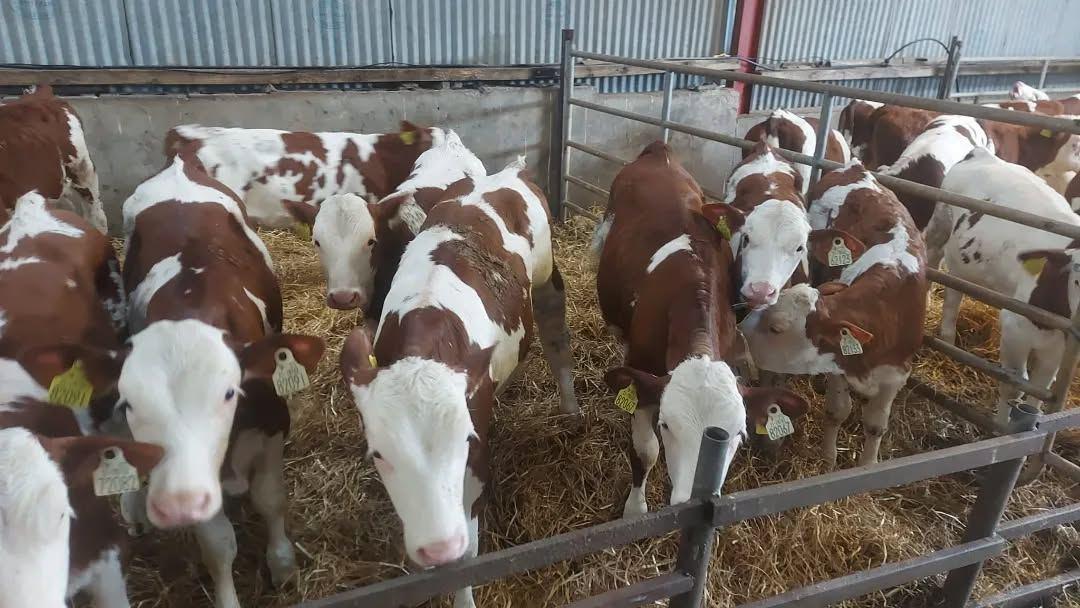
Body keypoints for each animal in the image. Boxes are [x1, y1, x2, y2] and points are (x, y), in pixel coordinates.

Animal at [98, 151, 324, 608]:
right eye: (133, 404)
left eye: (228, 393)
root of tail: (180, 164)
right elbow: (218, 544)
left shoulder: (273, 426)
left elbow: (271, 499)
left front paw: (282, 565)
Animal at [338, 157, 577, 608]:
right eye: (378, 455)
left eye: (466, 441)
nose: (437, 547)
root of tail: (509, 173)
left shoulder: (477, 458)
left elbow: (466, 554)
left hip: (546, 275)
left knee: (557, 334)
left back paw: (572, 410)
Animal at [741, 161, 928, 466]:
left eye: (777, 327)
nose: (738, 335)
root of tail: (857, 167)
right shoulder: (837, 363)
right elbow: (837, 410)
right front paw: (828, 460)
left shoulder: (896, 375)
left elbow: (875, 425)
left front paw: (866, 466)